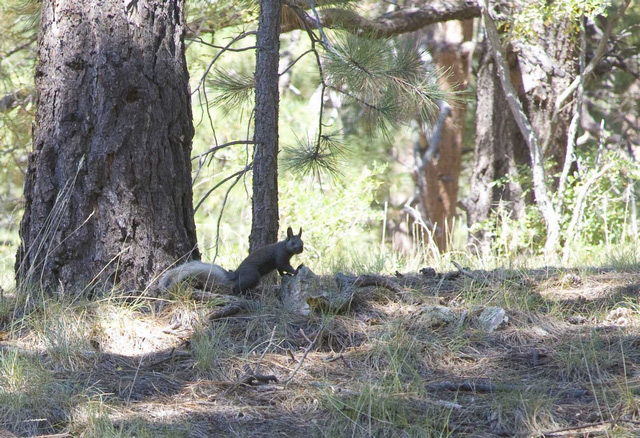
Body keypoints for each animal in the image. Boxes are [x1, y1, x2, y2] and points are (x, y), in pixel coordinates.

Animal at [158, 226, 302, 294]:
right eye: (293, 243)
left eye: (302, 242)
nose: (300, 249)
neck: (284, 247)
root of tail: (236, 274)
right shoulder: (280, 257)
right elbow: (284, 266)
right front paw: (296, 270)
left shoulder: (281, 261)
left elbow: (281, 270)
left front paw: (286, 274)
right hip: (252, 275)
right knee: (236, 287)